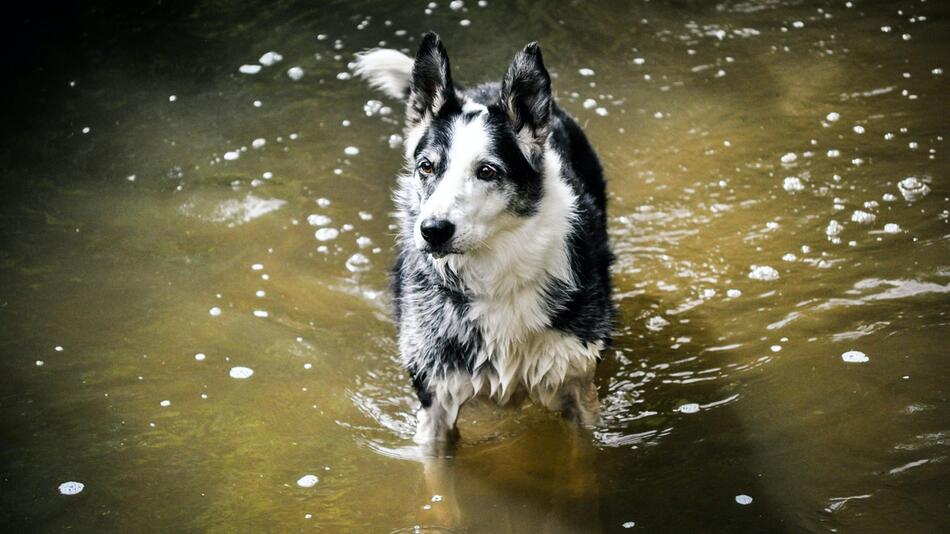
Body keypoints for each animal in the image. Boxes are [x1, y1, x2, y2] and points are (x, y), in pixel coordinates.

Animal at [354, 32, 612, 444]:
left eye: (488, 171)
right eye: (426, 167)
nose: (433, 231)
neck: (492, 276)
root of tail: (481, 89)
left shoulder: (576, 385)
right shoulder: (436, 401)